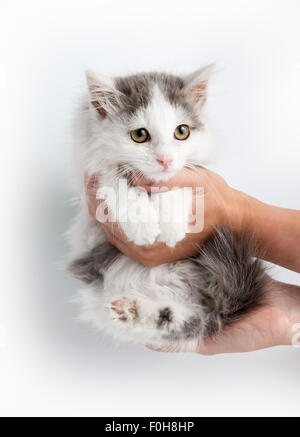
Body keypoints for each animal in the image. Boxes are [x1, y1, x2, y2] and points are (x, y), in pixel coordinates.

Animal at [67, 67, 268, 348]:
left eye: (181, 132)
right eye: (139, 135)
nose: (165, 159)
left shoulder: (195, 173)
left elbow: (177, 184)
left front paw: (171, 227)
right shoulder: (93, 178)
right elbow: (116, 180)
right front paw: (143, 226)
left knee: (189, 319)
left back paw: (137, 310)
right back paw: (130, 310)